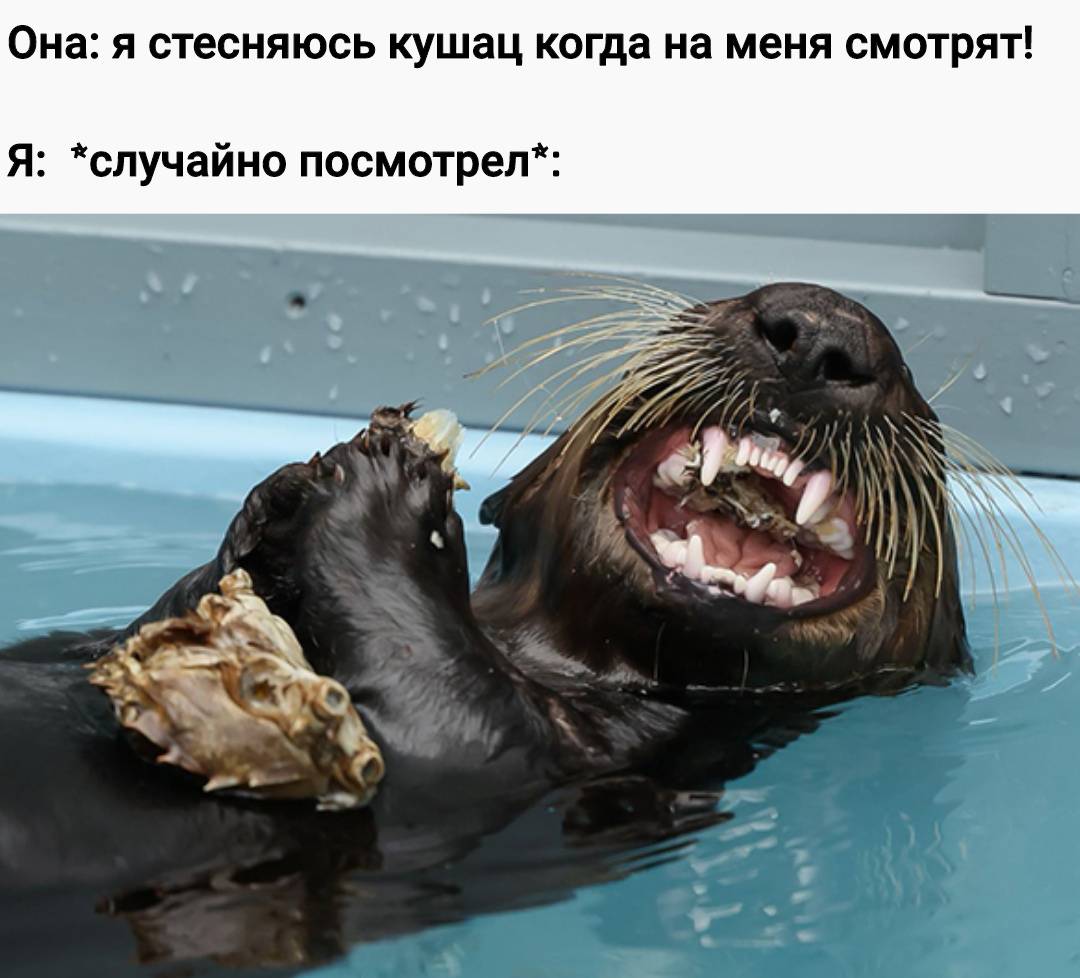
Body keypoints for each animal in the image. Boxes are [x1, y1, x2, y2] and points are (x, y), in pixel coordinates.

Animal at [0, 283, 980, 971]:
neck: (564, 661)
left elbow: (444, 711)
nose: (823, 330)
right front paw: (274, 502)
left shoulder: (537, 757)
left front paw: (385, 486)